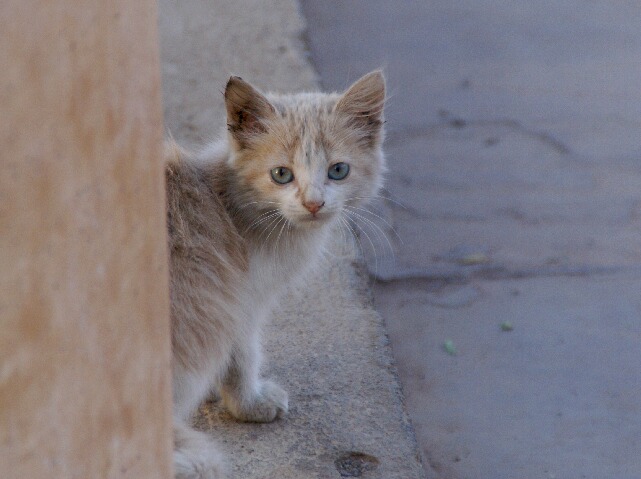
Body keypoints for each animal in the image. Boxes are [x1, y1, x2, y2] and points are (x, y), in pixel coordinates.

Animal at [165, 69, 384, 478]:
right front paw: (250, 402)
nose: (314, 203)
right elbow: (242, 357)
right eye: (282, 175)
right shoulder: (235, 301)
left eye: (338, 171)